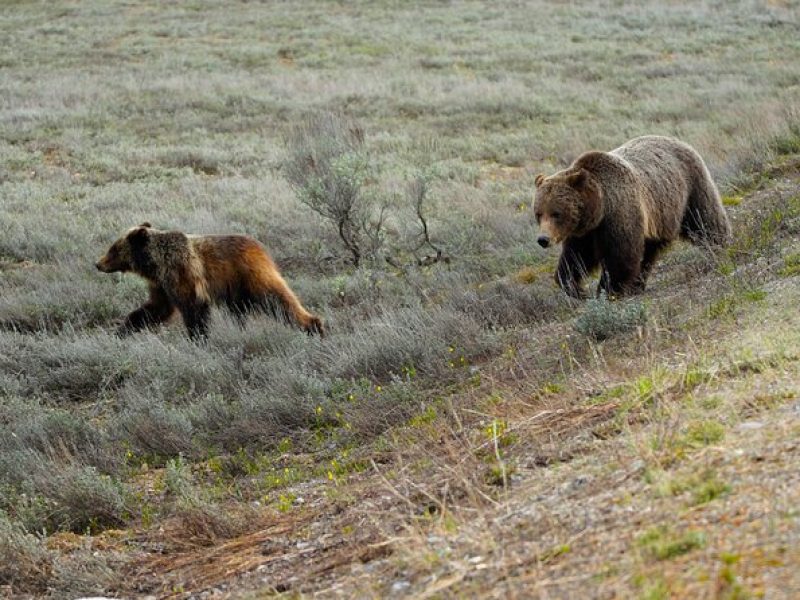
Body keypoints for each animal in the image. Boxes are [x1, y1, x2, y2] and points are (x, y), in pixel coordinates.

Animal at [97, 223, 324, 340]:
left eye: (113, 249)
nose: (98, 264)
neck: (156, 264)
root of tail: (260, 247)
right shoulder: (161, 285)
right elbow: (155, 308)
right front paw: (122, 330)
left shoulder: (183, 275)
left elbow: (193, 310)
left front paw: (198, 338)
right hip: (236, 292)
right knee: (240, 312)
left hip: (251, 276)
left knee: (278, 300)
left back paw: (313, 326)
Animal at [536, 135, 728, 296]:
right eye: (538, 213)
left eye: (556, 213)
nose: (543, 239)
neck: (599, 208)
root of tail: (679, 141)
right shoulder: (585, 232)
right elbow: (576, 257)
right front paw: (575, 287)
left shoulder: (619, 214)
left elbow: (621, 256)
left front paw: (607, 290)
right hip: (658, 218)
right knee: (649, 251)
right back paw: (638, 284)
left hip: (691, 189)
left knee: (705, 220)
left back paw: (719, 246)